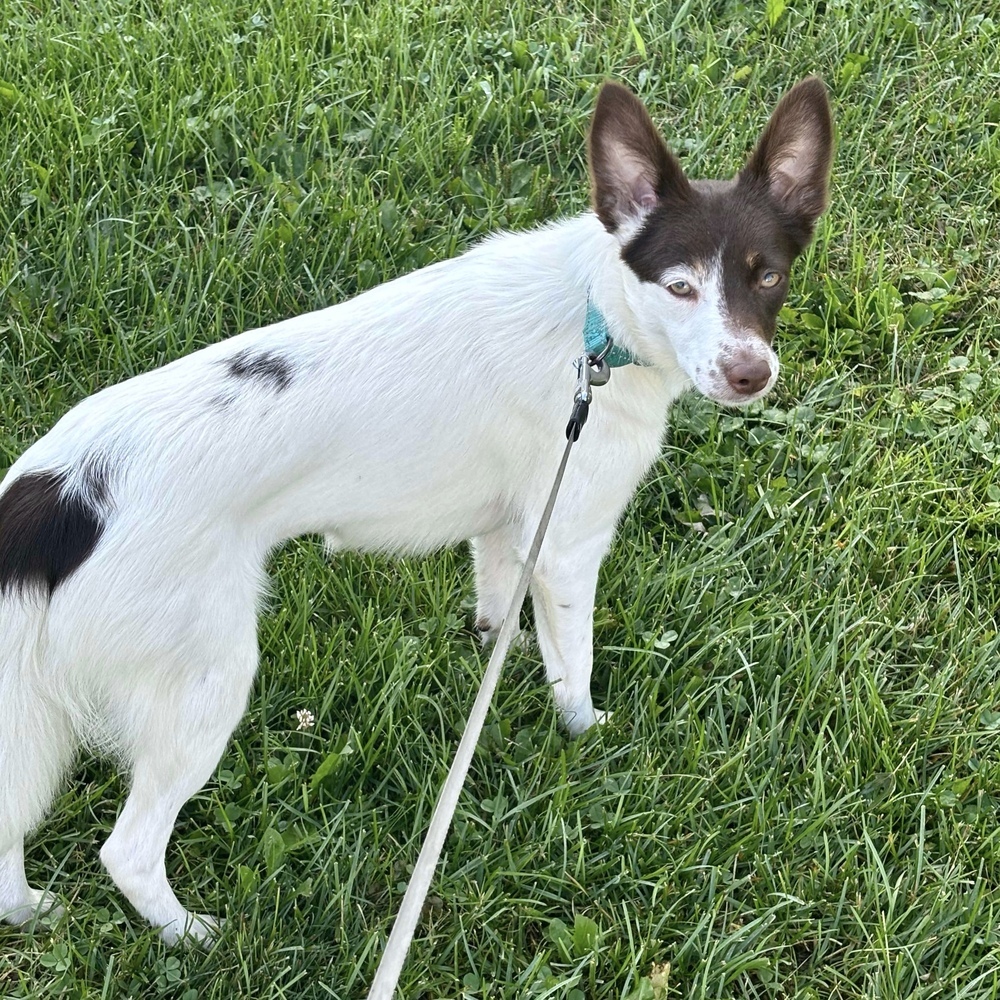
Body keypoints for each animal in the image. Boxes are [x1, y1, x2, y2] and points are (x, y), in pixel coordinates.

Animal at [0, 80, 832, 944]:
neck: (594, 319)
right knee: (128, 851)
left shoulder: (508, 530)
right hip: (204, 681)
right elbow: (573, 667)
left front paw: (495, 666)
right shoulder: (569, 543)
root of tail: (55, 493)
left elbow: (498, 612)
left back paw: (30, 911)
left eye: (767, 276)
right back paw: (192, 935)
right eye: (679, 286)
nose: (750, 374)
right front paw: (584, 733)